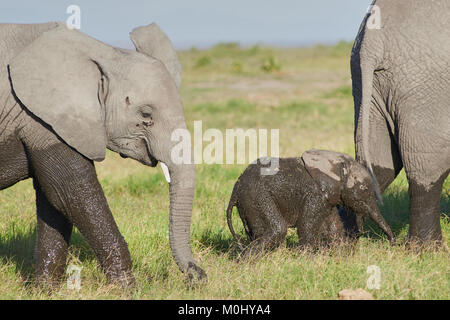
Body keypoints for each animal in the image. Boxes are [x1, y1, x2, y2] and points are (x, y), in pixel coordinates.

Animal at [0, 23, 206, 288]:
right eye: (146, 114)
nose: (197, 275)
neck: (103, 52)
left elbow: (53, 200)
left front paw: (45, 290)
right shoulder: (37, 118)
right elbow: (71, 194)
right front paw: (128, 289)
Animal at [227, 149, 392, 256]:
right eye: (364, 189)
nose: (392, 242)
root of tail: (236, 188)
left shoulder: (328, 199)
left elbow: (334, 227)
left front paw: (340, 253)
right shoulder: (316, 195)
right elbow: (305, 225)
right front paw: (307, 257)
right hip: (257, 197)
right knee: (277, 229)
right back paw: (246, 261)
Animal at [352, 0, 450, 245]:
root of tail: (372, 43)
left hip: (368, 85)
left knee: (377, 162)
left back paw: (342, 240)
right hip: (424, 86)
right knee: (427, 164)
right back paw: (427, 248)